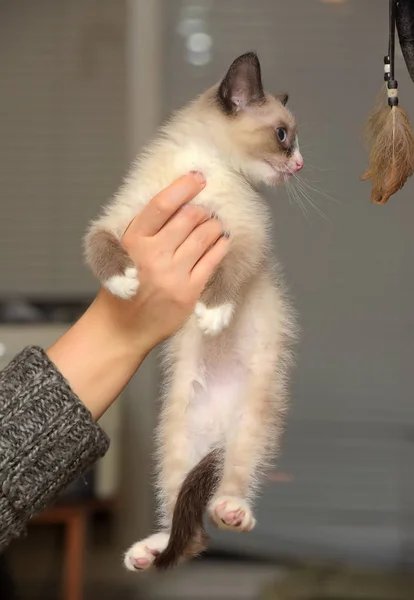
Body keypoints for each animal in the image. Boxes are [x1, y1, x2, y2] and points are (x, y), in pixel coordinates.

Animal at [85, 52, 304, 572]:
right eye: (282, 135)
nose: (300, 164)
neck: (202, 162)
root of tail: (217, 431)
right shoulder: (120, 218)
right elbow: (99, 245)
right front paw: (125, 280)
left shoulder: (245, 236)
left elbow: (228, 274)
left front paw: (212, 313)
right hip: (176, 438)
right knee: (186, 534)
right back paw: (147, 552)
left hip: (250, 427)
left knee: (226, 493)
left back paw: (231, 510)